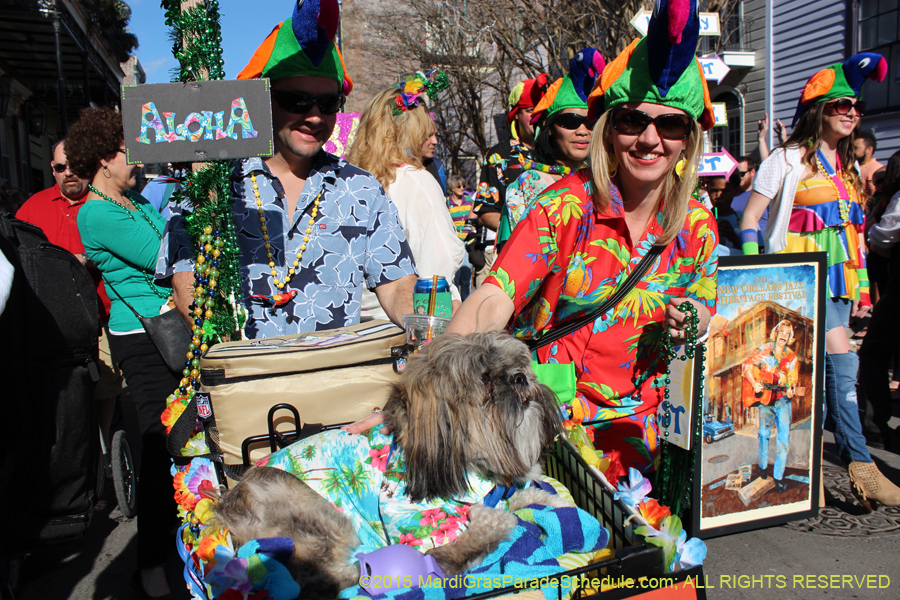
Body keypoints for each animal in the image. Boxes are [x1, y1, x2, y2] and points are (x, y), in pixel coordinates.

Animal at [213, 332, 564, 600]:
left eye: (517, 365)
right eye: (486, 378)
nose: (521, 377)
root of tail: (228, 505)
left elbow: (520, 495)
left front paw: (547, 497)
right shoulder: (414, 525)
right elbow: (462, 545)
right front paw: (495, 520)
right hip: (323, 519)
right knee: (316, 581)